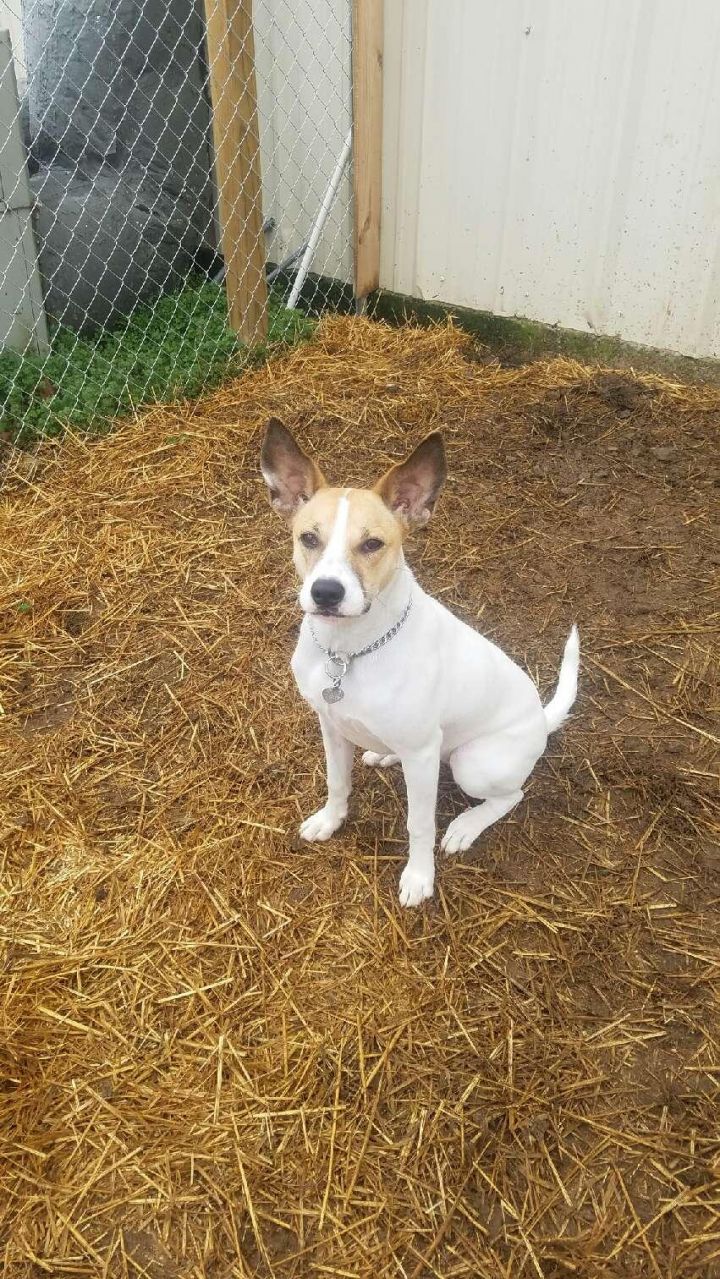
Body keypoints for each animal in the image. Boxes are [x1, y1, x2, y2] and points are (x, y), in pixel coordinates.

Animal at [260, 414, 580, 905]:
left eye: (372, 544)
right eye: (308, 538)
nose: (326, 592)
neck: (349, 652)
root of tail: (542, 723)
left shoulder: (421, 759)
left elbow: (419, 824)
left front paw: (419, 877)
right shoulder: (330, 725)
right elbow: (337, 782)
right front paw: (330, 821)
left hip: (473, 763)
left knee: (511, 796)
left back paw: (466, 825)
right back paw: (382, 754)